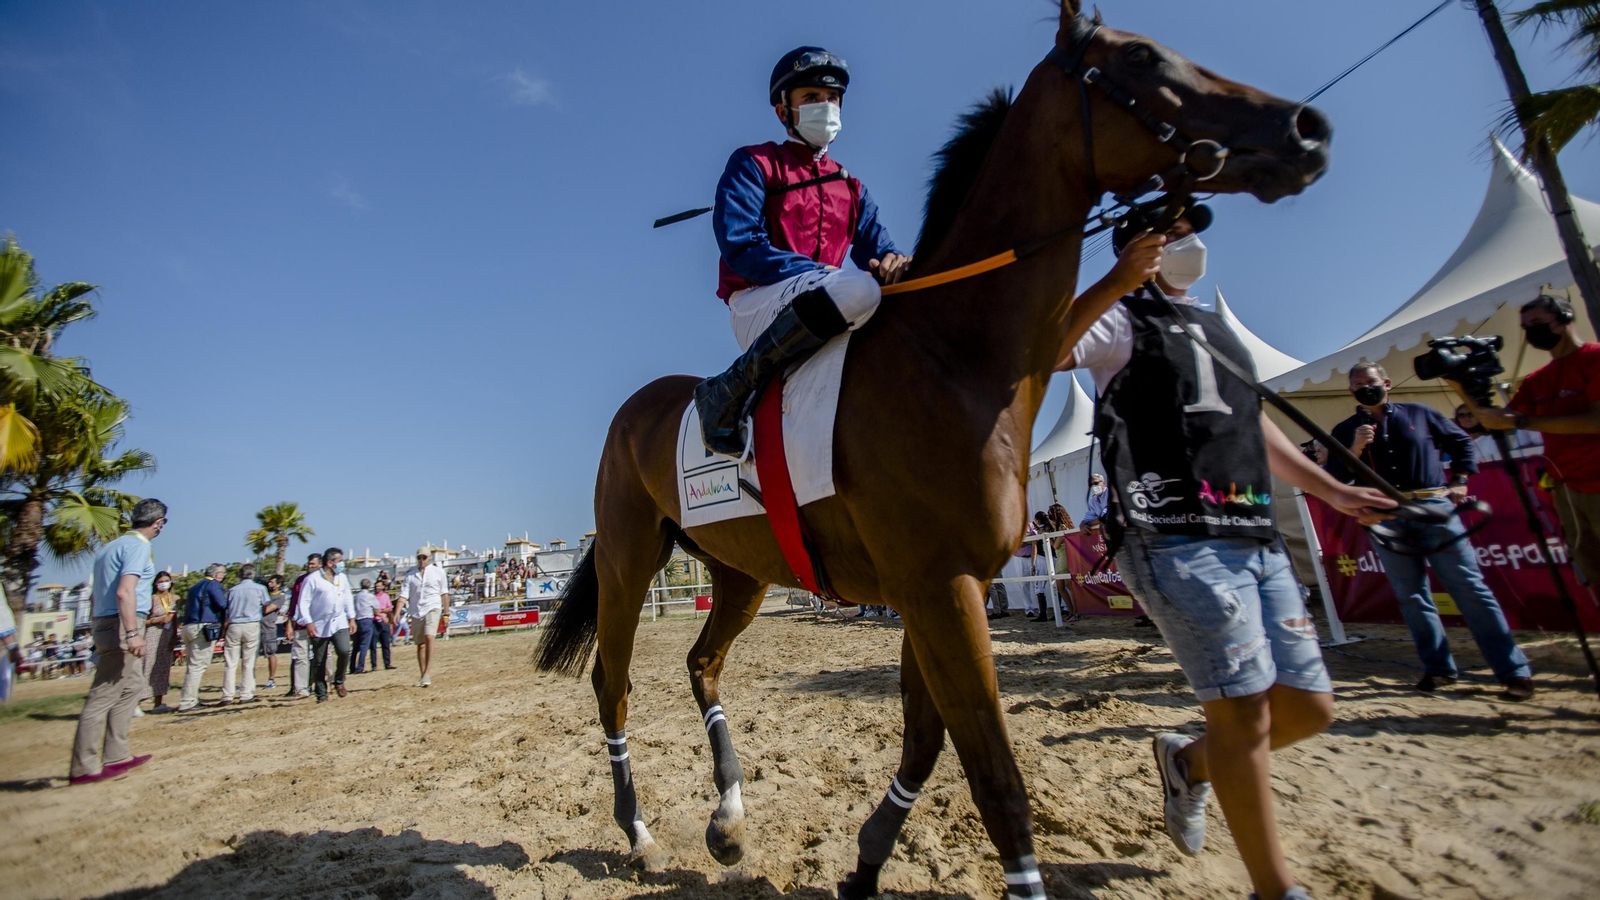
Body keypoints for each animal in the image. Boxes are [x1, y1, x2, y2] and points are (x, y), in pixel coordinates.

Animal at [536, 1, 1332, 895]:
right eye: (1139, 57)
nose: (1306, 129)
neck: (956, 357)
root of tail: (636, 409)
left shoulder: (945, 587)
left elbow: (925, 739)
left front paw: (865, 862)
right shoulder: (939, 588)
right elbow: (995, 775)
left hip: (741, 570)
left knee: (703, 663)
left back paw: (729, 821)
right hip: (629, 561)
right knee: (612, 682)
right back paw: (638, 832)